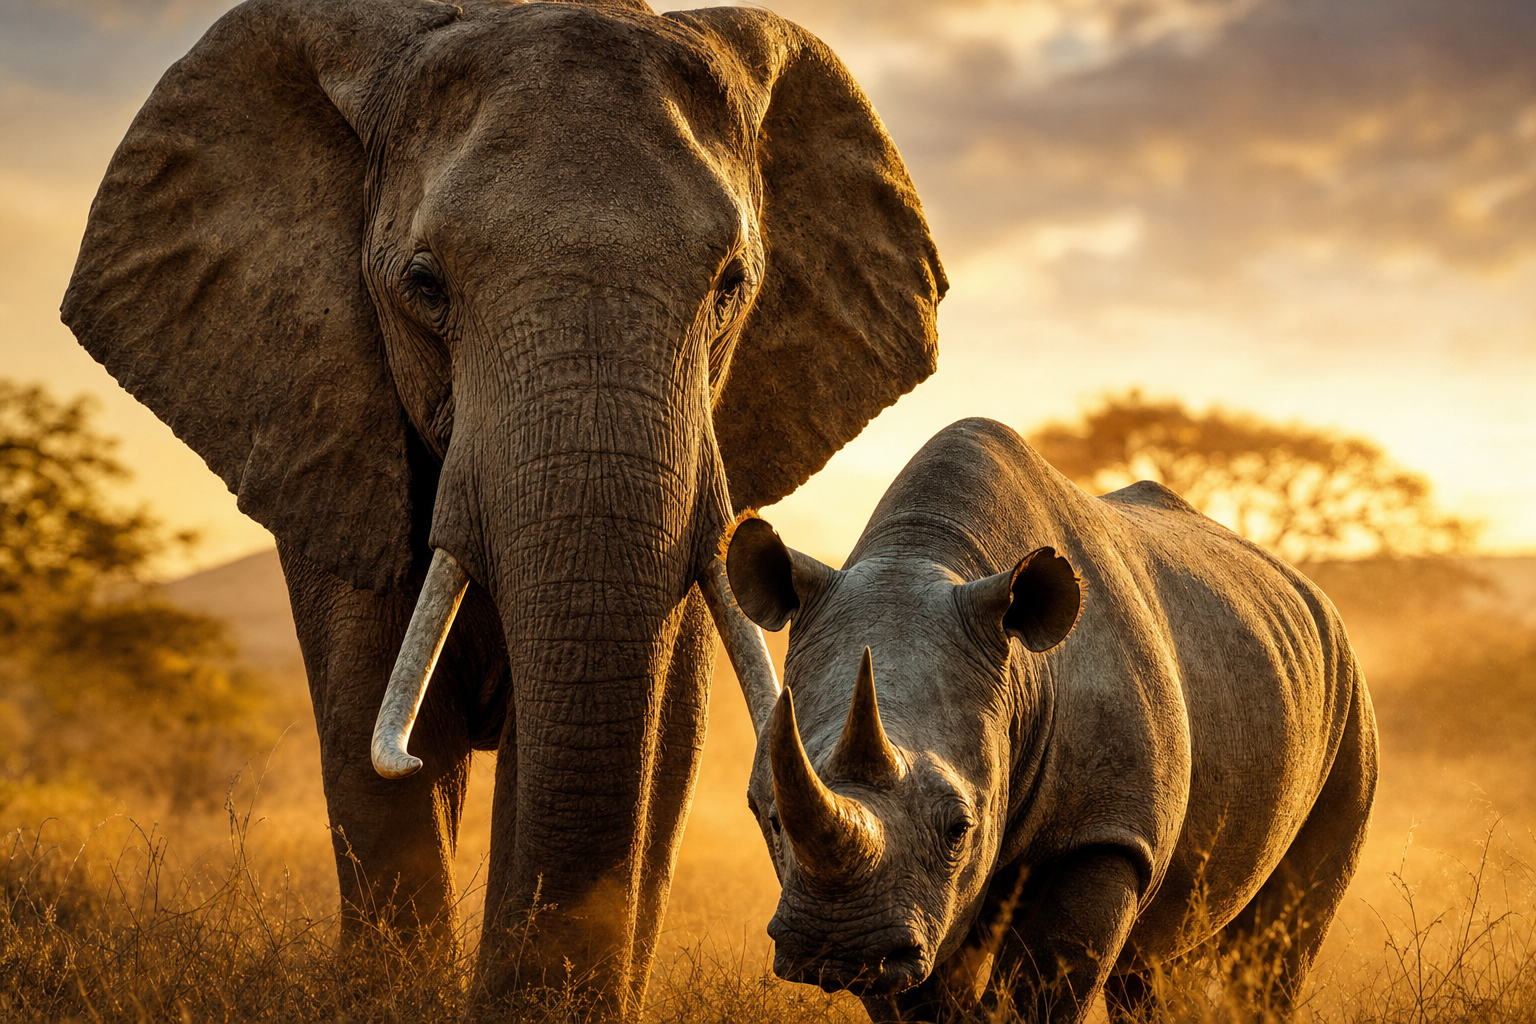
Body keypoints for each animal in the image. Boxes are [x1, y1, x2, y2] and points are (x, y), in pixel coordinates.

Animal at [722, 418, 1377, 1023]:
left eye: (960, 828)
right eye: (771, 818)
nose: (838, 950)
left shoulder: (1105, 832)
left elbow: (1040, 990)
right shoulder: (911, 909)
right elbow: (922, 998)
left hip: (1350, 691)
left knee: (1282, 937)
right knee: (1152, 960)